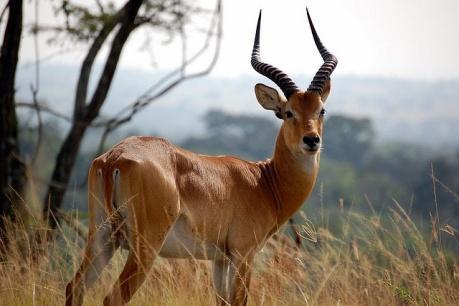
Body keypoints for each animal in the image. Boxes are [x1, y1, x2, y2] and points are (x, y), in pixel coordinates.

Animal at [64, 7, 338, 306]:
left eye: (321, 110)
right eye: (288, 112)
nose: (312, 140)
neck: (264, 182)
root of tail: (114, 158)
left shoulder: (220, 260)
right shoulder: (244, 254)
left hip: (102, 239)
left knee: (73, 287)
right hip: (144, 247)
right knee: (112, 297)